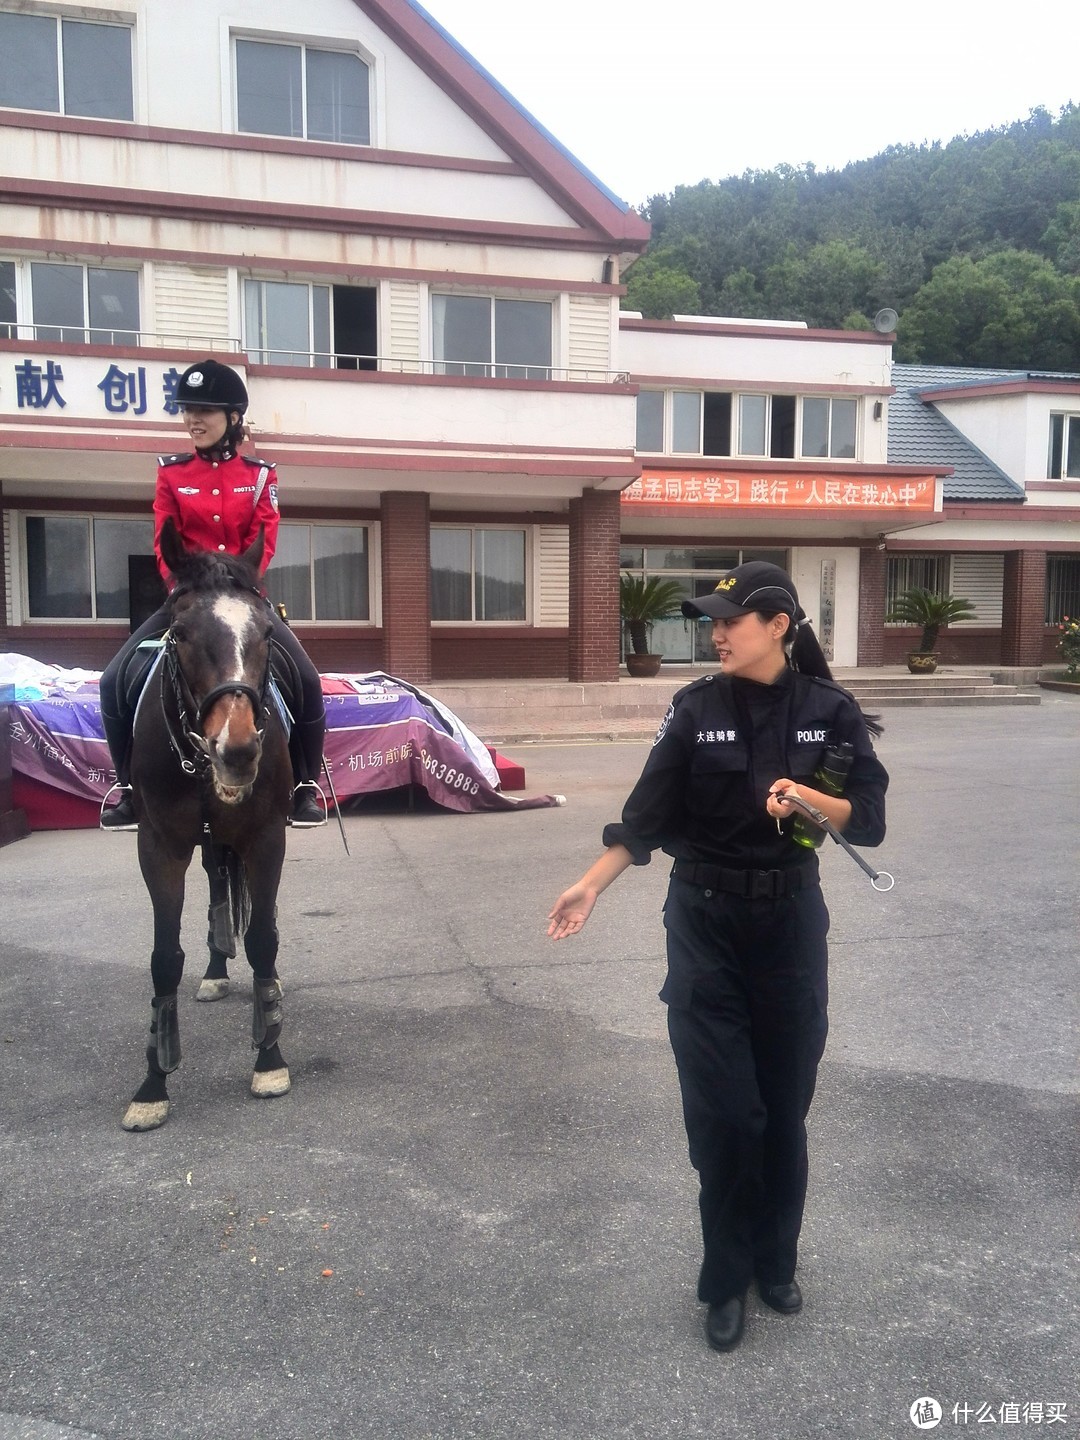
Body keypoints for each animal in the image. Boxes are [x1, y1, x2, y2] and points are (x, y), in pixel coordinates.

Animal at [123, 524, 292, 1128]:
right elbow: (163, 959)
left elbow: (263, 939)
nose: (237, 750)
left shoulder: (267, 837)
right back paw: (216, 967)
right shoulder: (160, 847)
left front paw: (269, 1057)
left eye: (267, 632)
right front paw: (153, 1083)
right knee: (218, 887)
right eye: (179, 632)